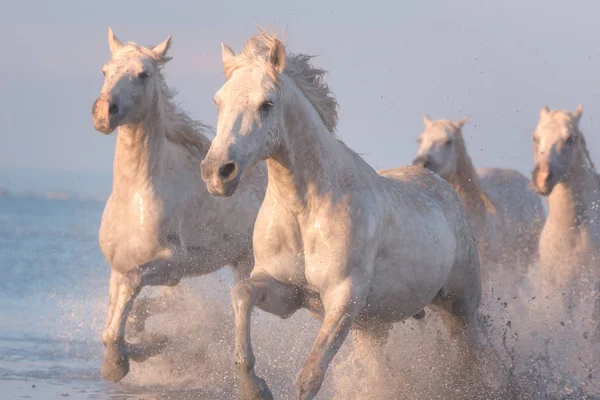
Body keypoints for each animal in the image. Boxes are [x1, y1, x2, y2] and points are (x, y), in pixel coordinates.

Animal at [91, 28, 264, 382]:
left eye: (142, 74)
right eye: (105, 71)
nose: (103, 112)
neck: (136, 195)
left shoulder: (173, 262)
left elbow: (129, 298)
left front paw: (118, 362)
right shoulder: (120, 266)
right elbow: (117, 320)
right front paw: (141, 345)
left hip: (247, 262)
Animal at [202, 28, 482, 400]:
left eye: (266, 104)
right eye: (218, 101)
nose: (217, 172)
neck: (304, 211)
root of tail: (444, 189)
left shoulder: (341, 299)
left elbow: (309, 376)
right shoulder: (286, 293)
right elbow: (242, 293)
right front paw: (254, 387)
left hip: (462, 309)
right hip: (372, 328)